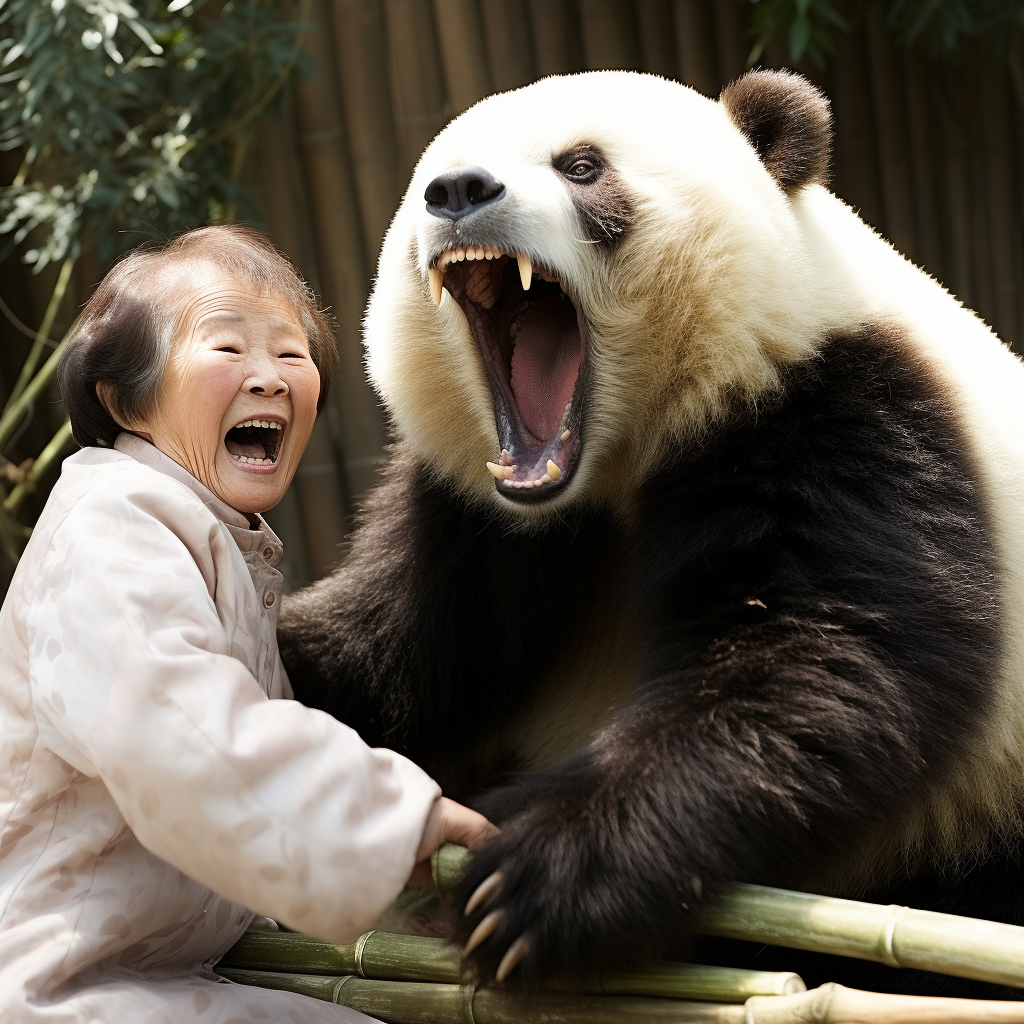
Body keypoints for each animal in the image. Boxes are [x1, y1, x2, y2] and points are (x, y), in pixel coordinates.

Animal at [276, 72, 1024, 999]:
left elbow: (823, 660)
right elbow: (389, 655)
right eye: (428, 182)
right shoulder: (472, 517)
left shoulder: (838, 408)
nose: (458, 193)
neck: (608, 471)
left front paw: (536, 876)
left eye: (582, 166)